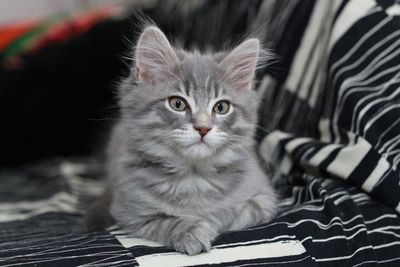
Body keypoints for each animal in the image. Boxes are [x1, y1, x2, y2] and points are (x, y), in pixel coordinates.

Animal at [84, 26, 278, 256]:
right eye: (177, 104)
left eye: (221, 107)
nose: (203, 128)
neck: (194, 177)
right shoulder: (129, 213)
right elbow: (167, 221)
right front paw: (191, 231)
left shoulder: (265, 198)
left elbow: (236, 214)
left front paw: (213, 219)